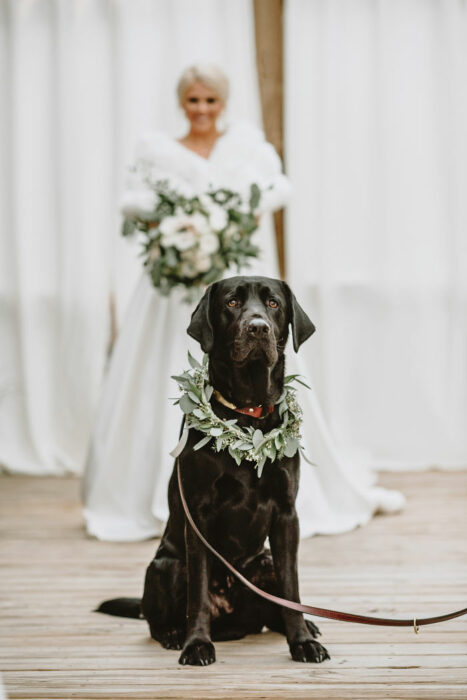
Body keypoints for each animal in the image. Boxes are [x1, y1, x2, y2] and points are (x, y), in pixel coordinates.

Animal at [97, 274, 330, 668]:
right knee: (158, 617)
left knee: (270, 610)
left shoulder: (287, 514)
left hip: (263, 561)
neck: (247, 414)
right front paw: (196, 644)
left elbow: (292, 587)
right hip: (164, 566)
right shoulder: (198, 514)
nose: (258, 328)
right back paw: (175, 635)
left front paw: (302, 641)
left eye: (273, 303)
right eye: (232, 303)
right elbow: (199, 591)